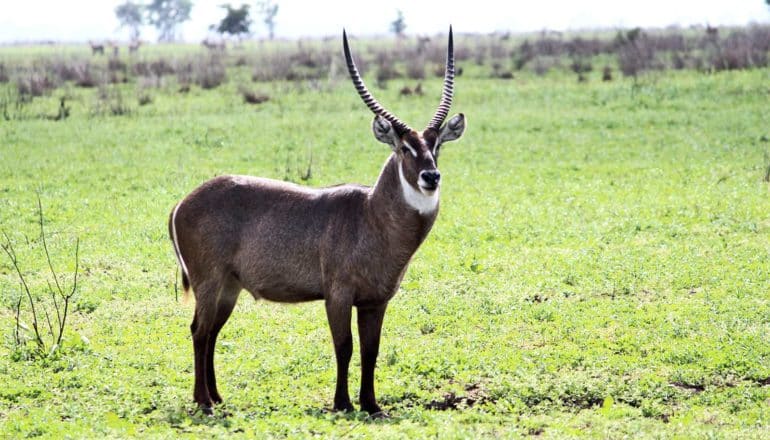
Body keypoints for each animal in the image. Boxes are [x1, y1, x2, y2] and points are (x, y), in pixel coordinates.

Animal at [169, 26, 464, 416]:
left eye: (436, 145)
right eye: (404, 148)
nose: (431, 176)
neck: (371, 215)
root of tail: (182, 203)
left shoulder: (375, 301)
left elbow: (371, 350)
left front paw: (372, 405)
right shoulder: (337, 295)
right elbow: (344, 346)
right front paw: (343, 403)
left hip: (229, 287)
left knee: (212, 332)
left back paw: (216, 396)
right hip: (209, 281)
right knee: (199, 331)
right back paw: (204, 402)